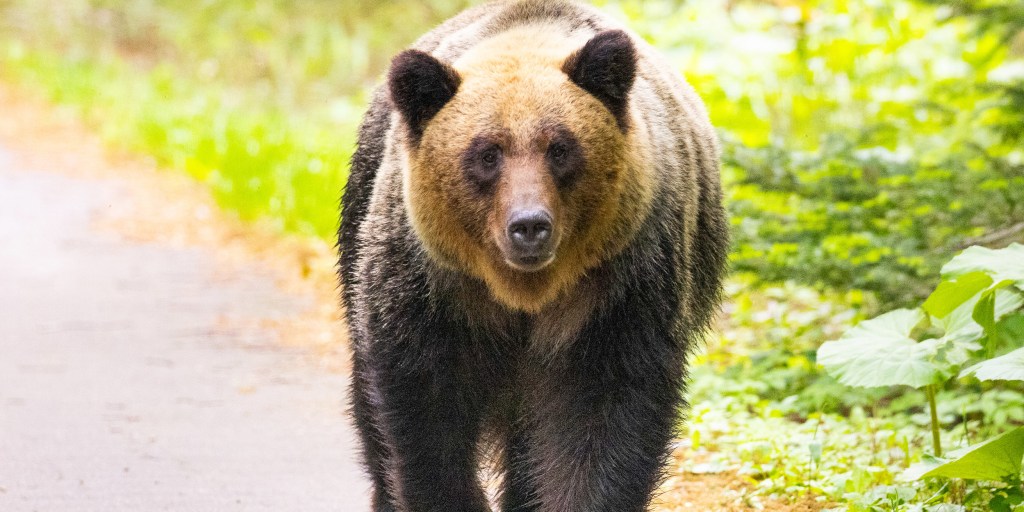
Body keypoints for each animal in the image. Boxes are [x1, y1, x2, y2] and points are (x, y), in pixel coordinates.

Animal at [338, 1, 728, 511]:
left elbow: (604, 419)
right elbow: (425, 417)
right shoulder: (430, 289)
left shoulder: (619, 288)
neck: (525, 293)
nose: (529, 226)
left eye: (560, 148)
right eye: (487, 153)